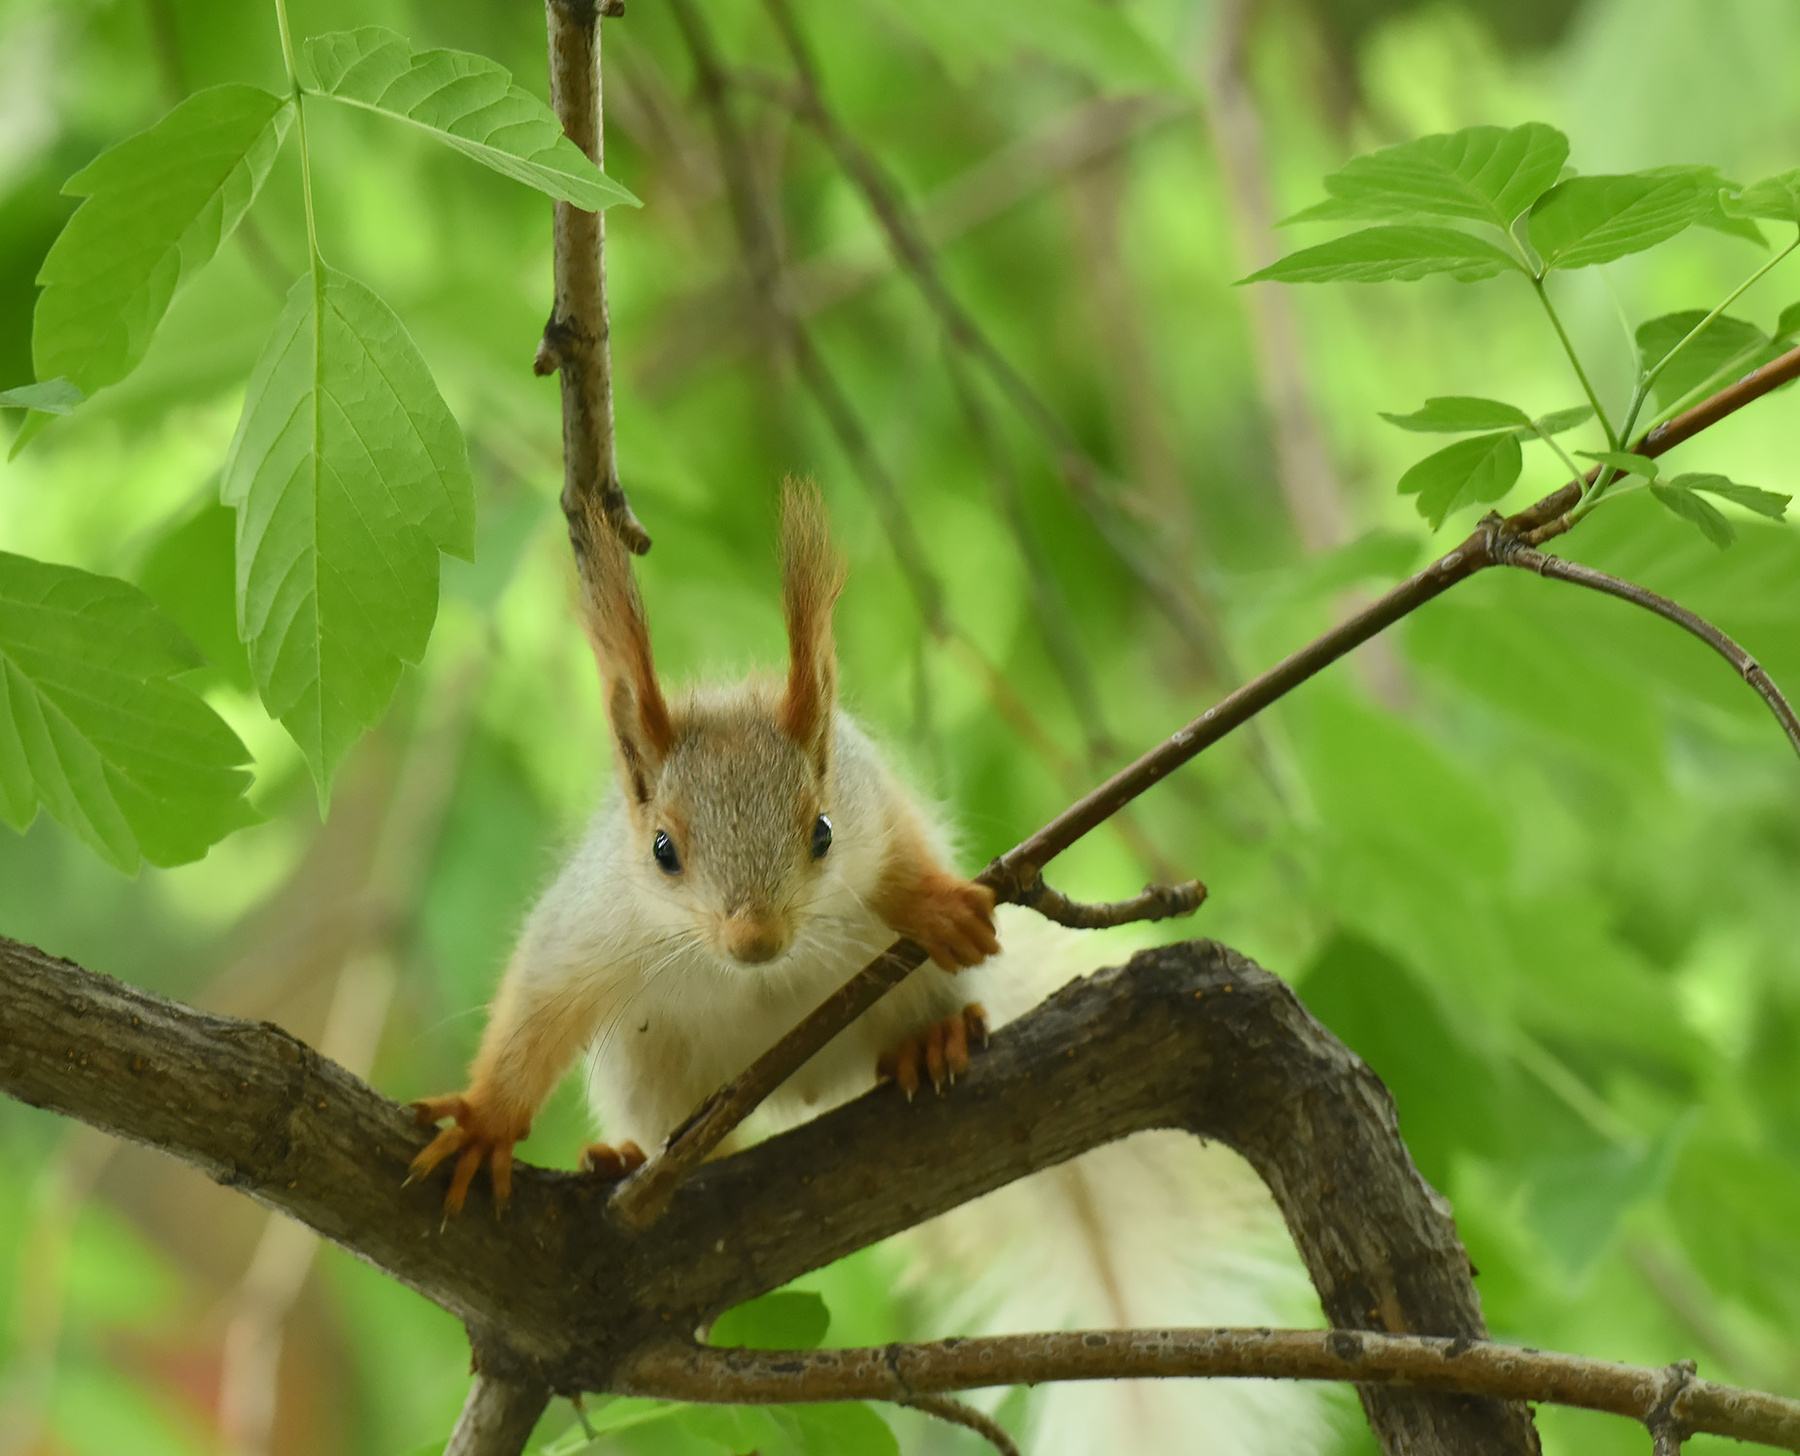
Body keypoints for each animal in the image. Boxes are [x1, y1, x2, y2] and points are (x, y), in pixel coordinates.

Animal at [409, 480, 1000, 1214]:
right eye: (662, 850)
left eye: (823, 832)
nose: (756, 941)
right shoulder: (591, 922)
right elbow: (536, 1013)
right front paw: (485, 1123)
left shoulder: (870, 807)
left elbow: (901, 853)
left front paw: (939, 906)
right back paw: (624, 1159)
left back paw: (930, 1039)